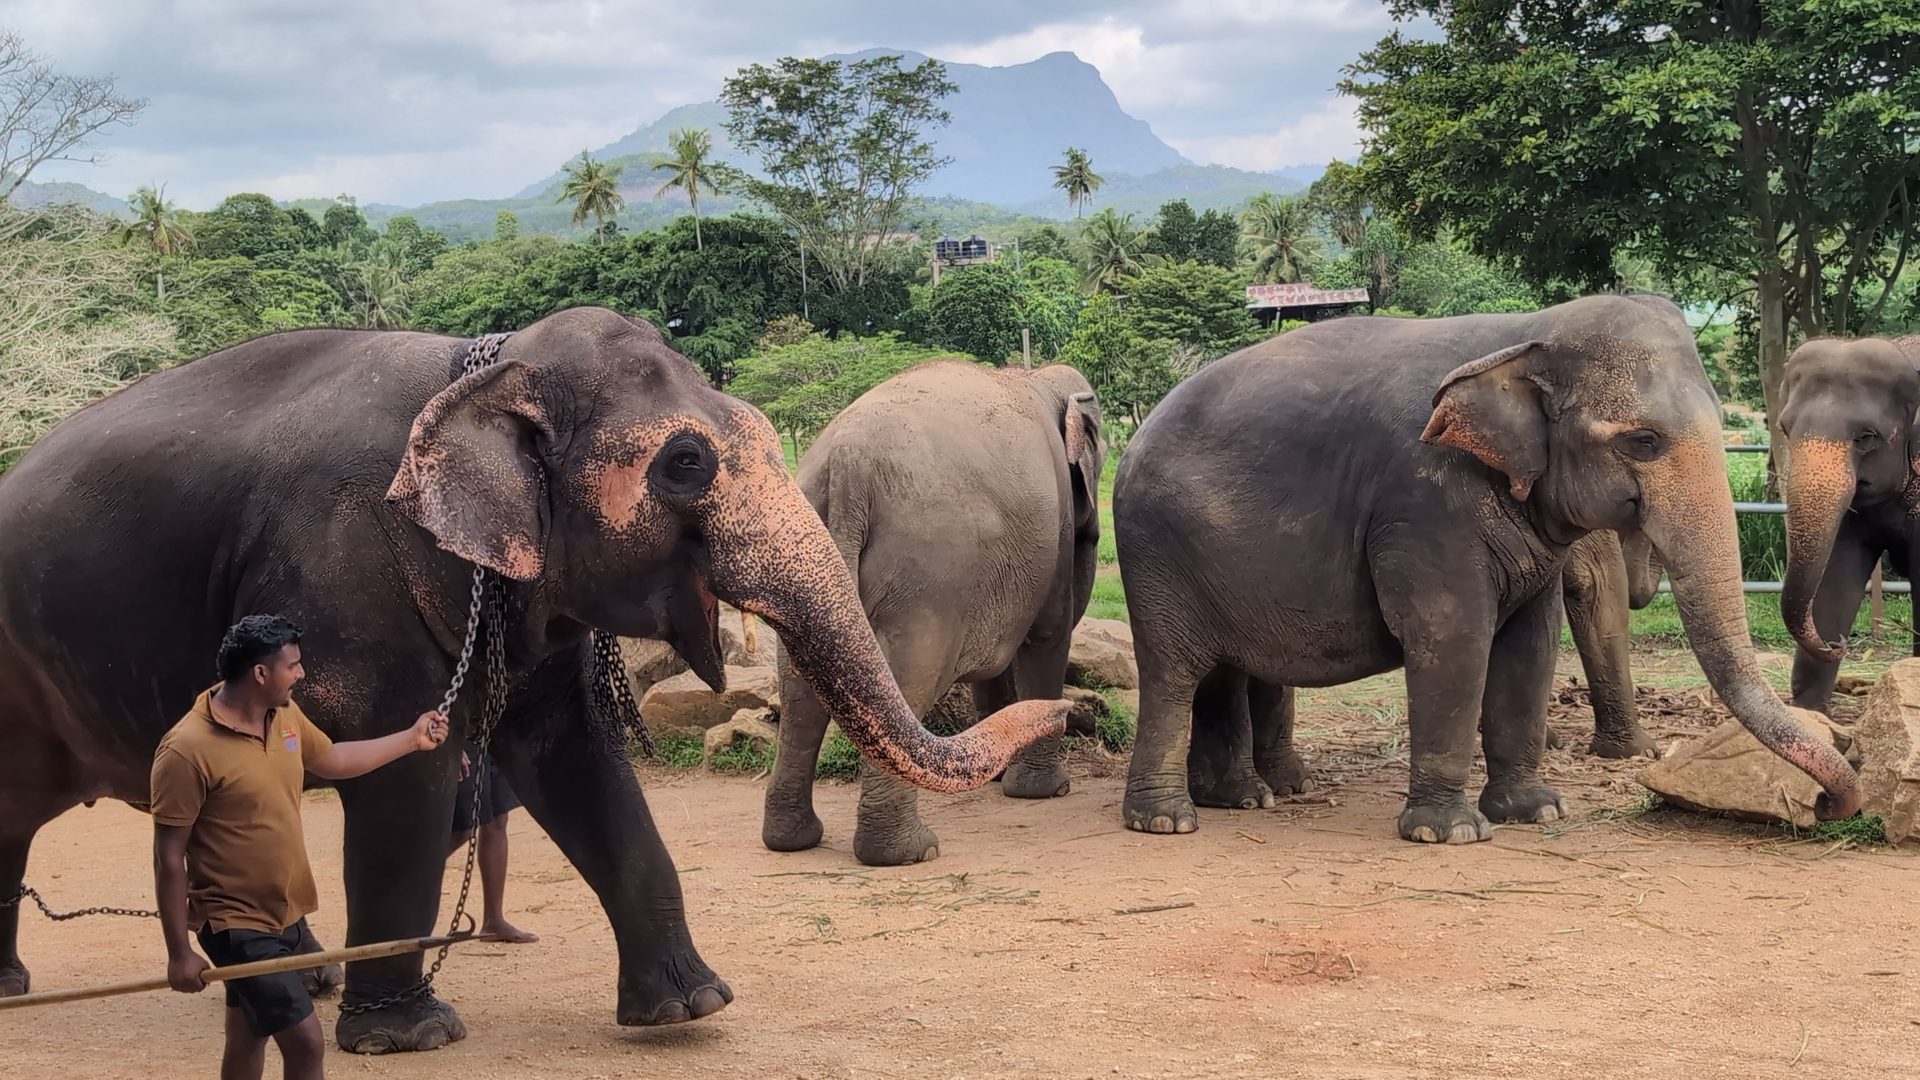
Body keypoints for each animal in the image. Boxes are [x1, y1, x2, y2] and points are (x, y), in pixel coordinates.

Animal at [0, 308, 1067, 1050]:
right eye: (686, 463)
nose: (1055, 705)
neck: (487, 366)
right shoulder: (346, 572)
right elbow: (403, 772)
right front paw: (408, 1038)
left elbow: (580, 759)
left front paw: (689, 1008)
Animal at [761, 359, 1104, 866]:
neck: (1035, 376)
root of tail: (846, 465)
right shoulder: (1054, 537)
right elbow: (1047, 635)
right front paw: (1044, 790)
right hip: (930, 575)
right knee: (912, 677)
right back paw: (909, 851)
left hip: (802, 560)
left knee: (799, 687)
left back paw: (793, 839)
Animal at [1113, 293, 1859, 843]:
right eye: (1643, 441)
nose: (1829, 802)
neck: (1527, 332)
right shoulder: (1424, 500)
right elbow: (1454, 637)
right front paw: (1449, 833)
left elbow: (1530, 645)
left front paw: (1536, 811)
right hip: (1154, 555)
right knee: (1175, 671)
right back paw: (1168, 820)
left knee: (1220, 670)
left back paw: (1240, 799)